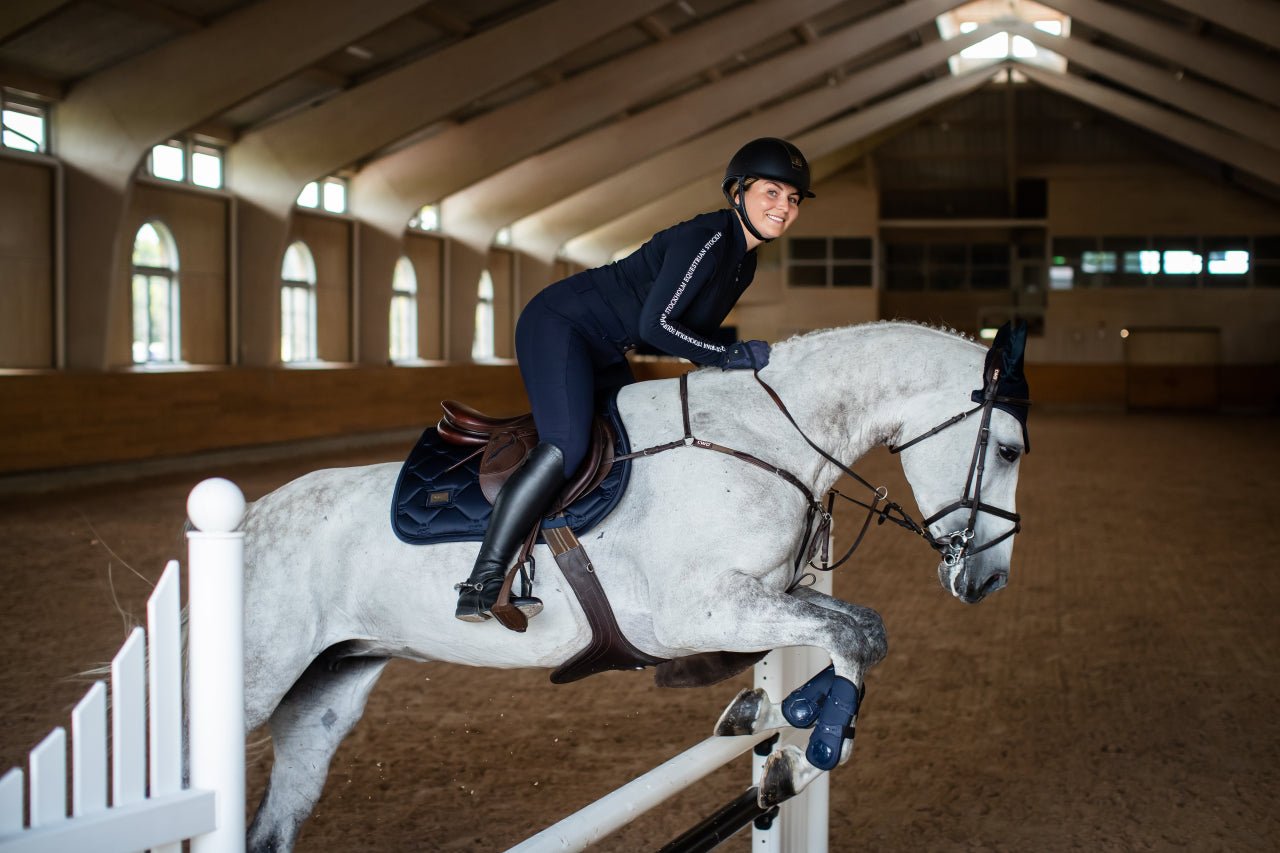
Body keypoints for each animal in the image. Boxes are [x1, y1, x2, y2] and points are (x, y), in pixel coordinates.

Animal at [240, 320, 1024, 850]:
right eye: (1011, 449)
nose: (989, 580)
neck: (764, 437)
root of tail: (249, 517)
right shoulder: (695, 613)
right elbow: (849, 637)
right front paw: (805, 754)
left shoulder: (768, 596)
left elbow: (864, 629)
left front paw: (778, 716)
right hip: (256, 683)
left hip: (325, 696)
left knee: (272, 827)